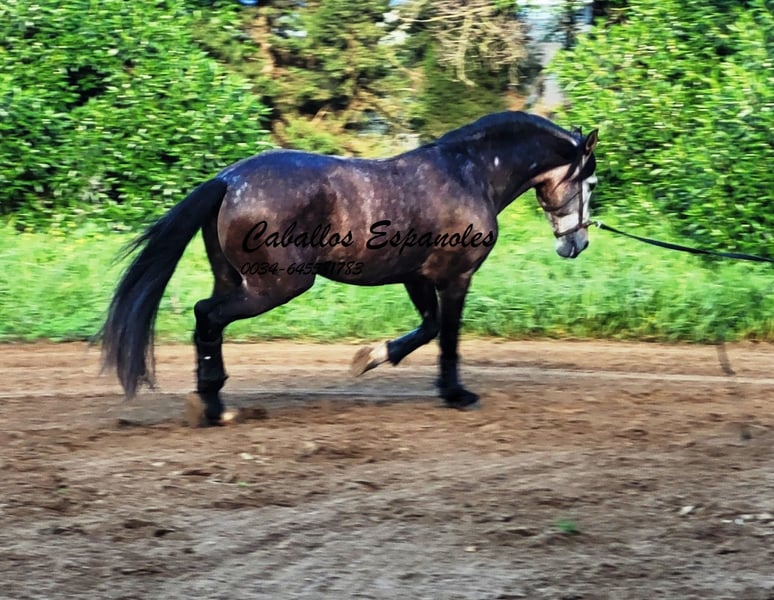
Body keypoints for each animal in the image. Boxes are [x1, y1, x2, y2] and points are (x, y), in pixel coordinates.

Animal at [101, 111, 598, 425]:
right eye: (590, 181)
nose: (577, 243)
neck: (468, 173)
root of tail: (227, 181)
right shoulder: (456, 277)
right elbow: (449, 336)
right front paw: (456, 394)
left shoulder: (416, 276)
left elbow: (429, 328)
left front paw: (370, 358)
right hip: (277, 285)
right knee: (207, 315)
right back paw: (211, 404)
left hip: (235, 278)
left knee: (208, 319)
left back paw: (215, 401)